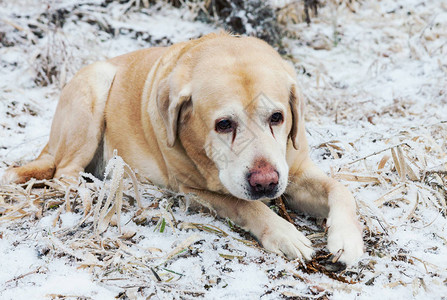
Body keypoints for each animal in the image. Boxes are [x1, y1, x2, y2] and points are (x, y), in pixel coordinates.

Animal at [2, 32, 364, 266]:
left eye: (277, 117)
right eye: (223, 124)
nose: (266, 183)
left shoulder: (295, 170)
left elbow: (341, 190)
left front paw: (347, 240)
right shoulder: (192, 190)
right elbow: (247, 206)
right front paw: (285, 234)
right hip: (95, 86)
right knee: (63, 173)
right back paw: (94, 188)